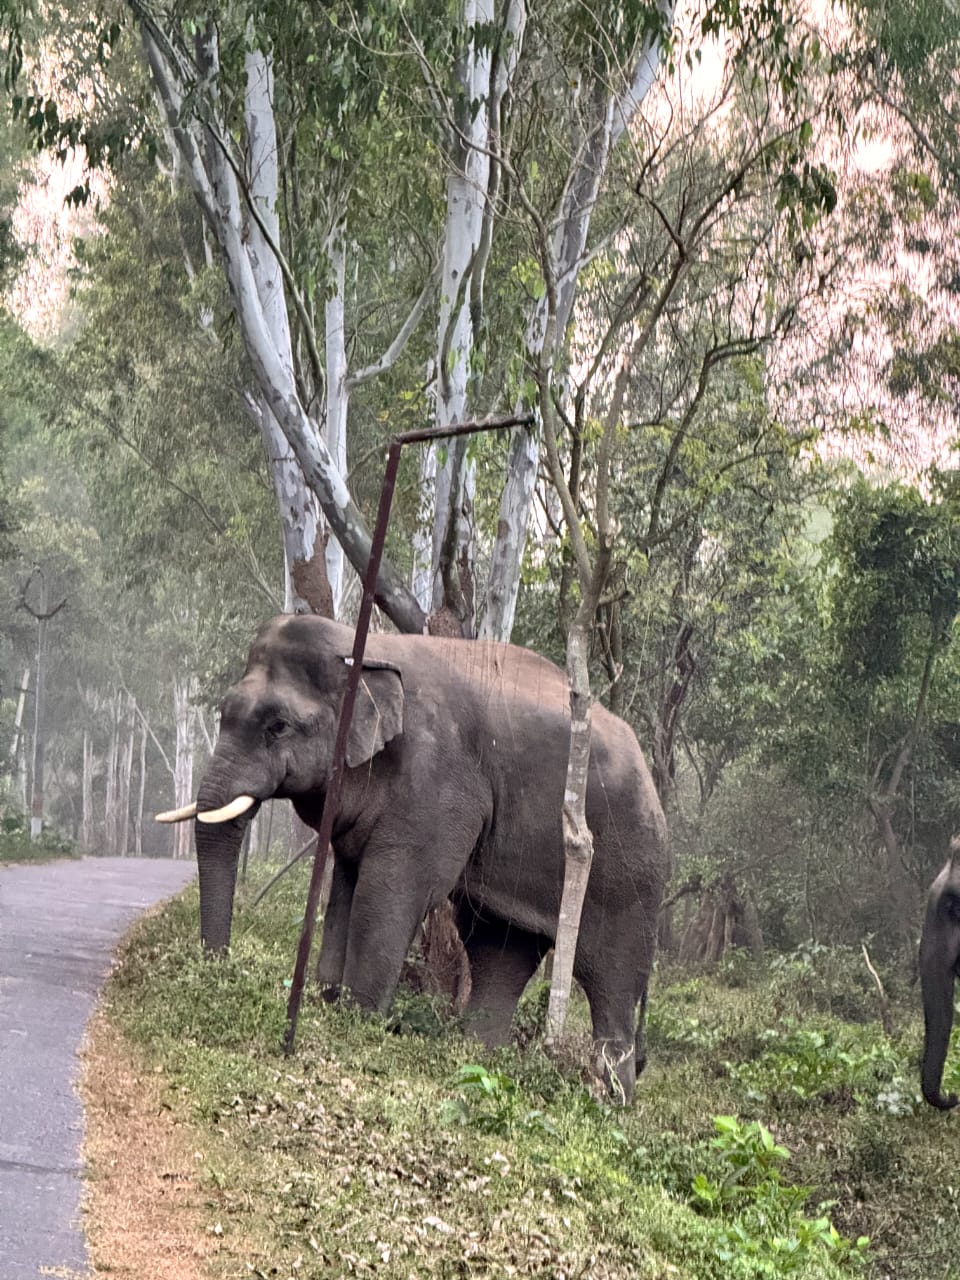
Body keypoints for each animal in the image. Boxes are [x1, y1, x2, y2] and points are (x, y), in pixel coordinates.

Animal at [157, 613, 669, 1101]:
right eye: (223, 713)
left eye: (277, 726)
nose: (217, 969)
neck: (364, 649)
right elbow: (347, 884)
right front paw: (328, 999)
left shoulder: (438, 780)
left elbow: (391, 888)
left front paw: (359, 1020)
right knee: (500, 950)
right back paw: (475, 1057)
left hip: (630, 876)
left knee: (612, 981)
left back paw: (613, 1099)